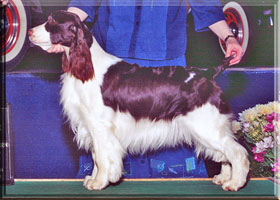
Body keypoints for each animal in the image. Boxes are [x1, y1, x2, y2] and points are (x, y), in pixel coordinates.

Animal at [28, 10, 249, 191]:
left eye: (51, 21)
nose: (29, 32)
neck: (87, 66)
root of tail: (208, 74)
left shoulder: (100, 126)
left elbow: (101, 157)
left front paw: (99, 182)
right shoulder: (90, 125)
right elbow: (96, 158)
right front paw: (93, 179)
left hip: (206, 126)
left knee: (237, 153)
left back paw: (234, 183)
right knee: (225, 155)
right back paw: (223, 178)